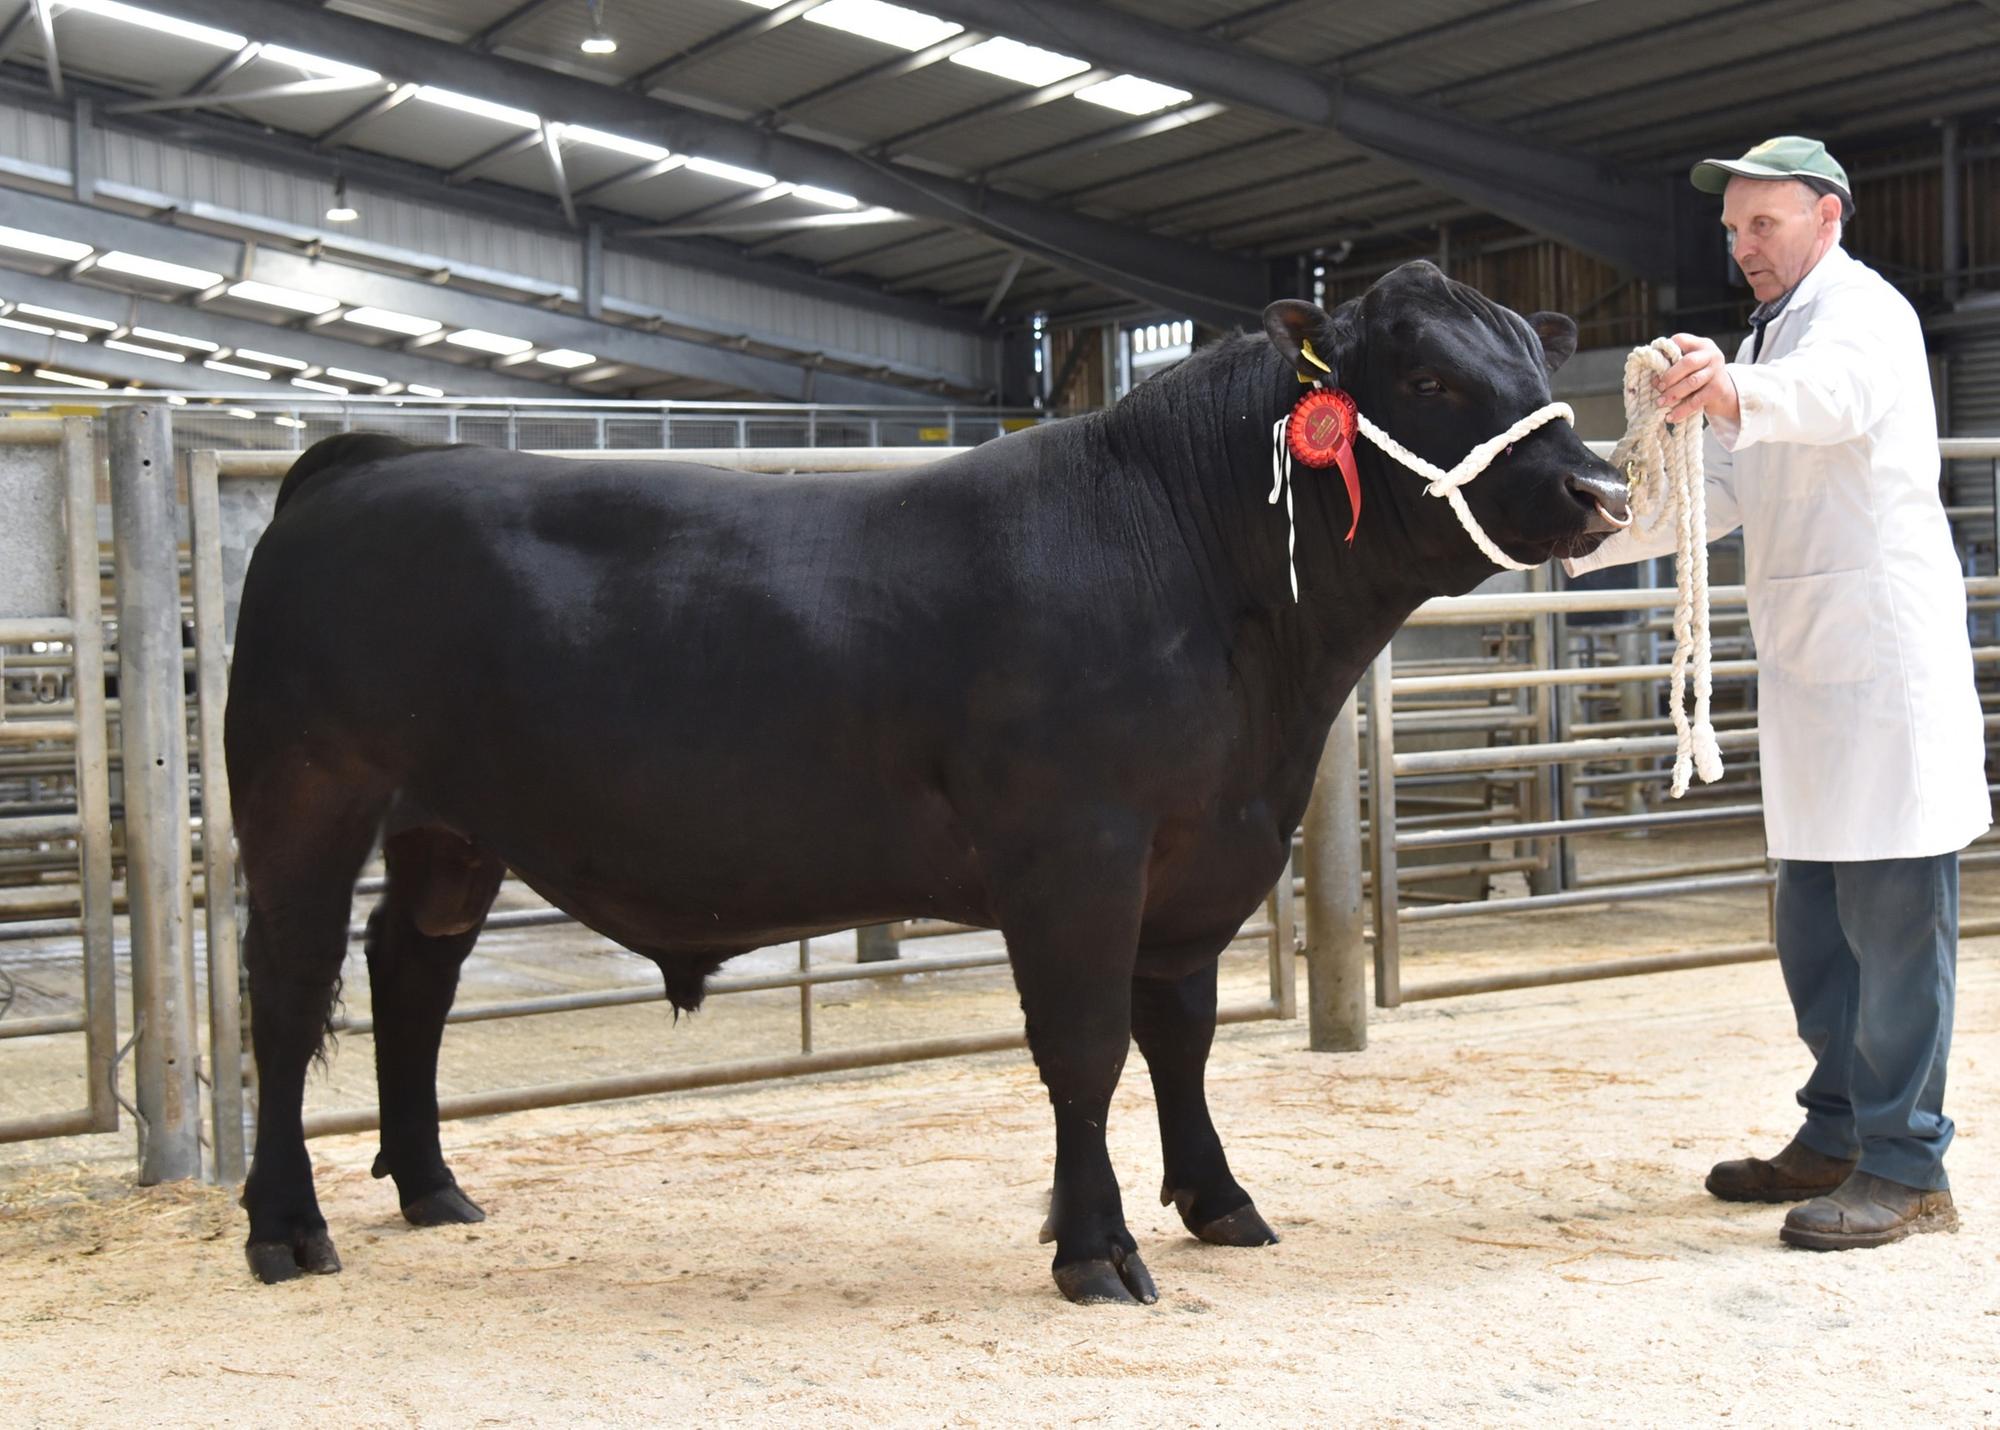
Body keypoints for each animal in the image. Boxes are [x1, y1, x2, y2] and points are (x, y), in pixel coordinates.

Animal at [226, 260, 1627, 1304]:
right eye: (1429, 374)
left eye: (1534, 362)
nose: (1598, 483)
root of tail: (369, 459)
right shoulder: (1076, 850)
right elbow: (1085, 1045)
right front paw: (1094, 1246)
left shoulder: (1208, 849)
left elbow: (1177, 1033)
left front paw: (1216, 1198)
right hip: (303, 790)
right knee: (288, 995)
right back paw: (283, 1226)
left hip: (450, 824)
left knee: (410, 970)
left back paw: (429, 1184)